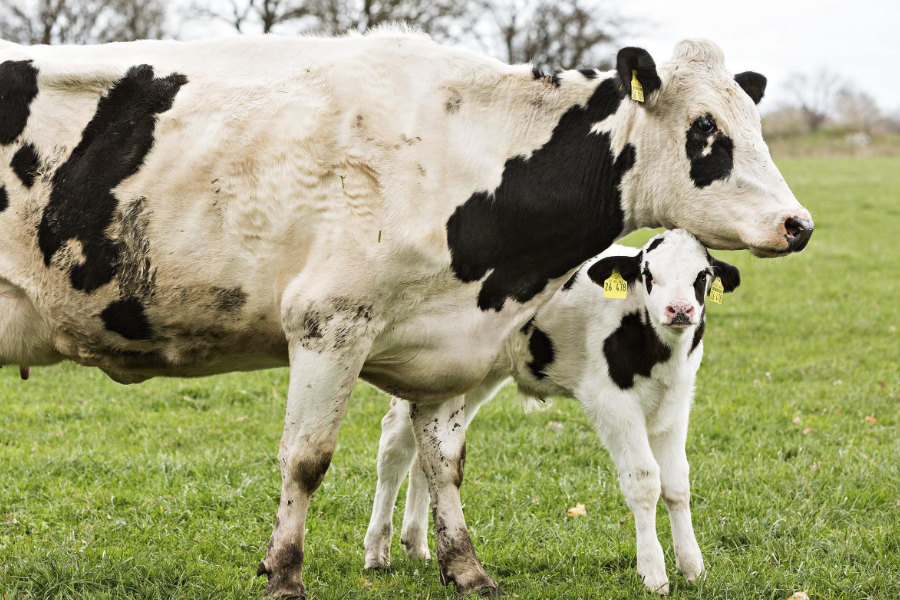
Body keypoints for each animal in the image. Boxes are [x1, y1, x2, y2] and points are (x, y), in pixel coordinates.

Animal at [362, 231, 740, 596]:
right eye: (648, 274)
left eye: (702, 276)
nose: (680, 310)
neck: (656, 350)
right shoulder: (611, 403)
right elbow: (645, 480)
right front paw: (653, 574)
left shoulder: (676, 404)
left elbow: (677, 483)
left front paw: (692, 567)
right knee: (394, 447)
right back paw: (377, 551)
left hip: (468, 380)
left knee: (428, 453)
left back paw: (415, 545)